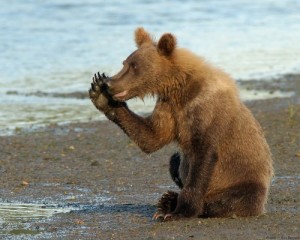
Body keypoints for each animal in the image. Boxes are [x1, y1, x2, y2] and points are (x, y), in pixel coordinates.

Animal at [88, 27, 274, 221]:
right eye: (124, 62)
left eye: (134, 66)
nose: (110, 83)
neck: (179, 87)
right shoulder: (169, 106)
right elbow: (153, 137)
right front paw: (100, 93)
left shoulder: (205, 110)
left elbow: (203, 155)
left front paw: (179, 212)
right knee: (174, 160)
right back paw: (167, 199)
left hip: (245, 181)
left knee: (231, 200)